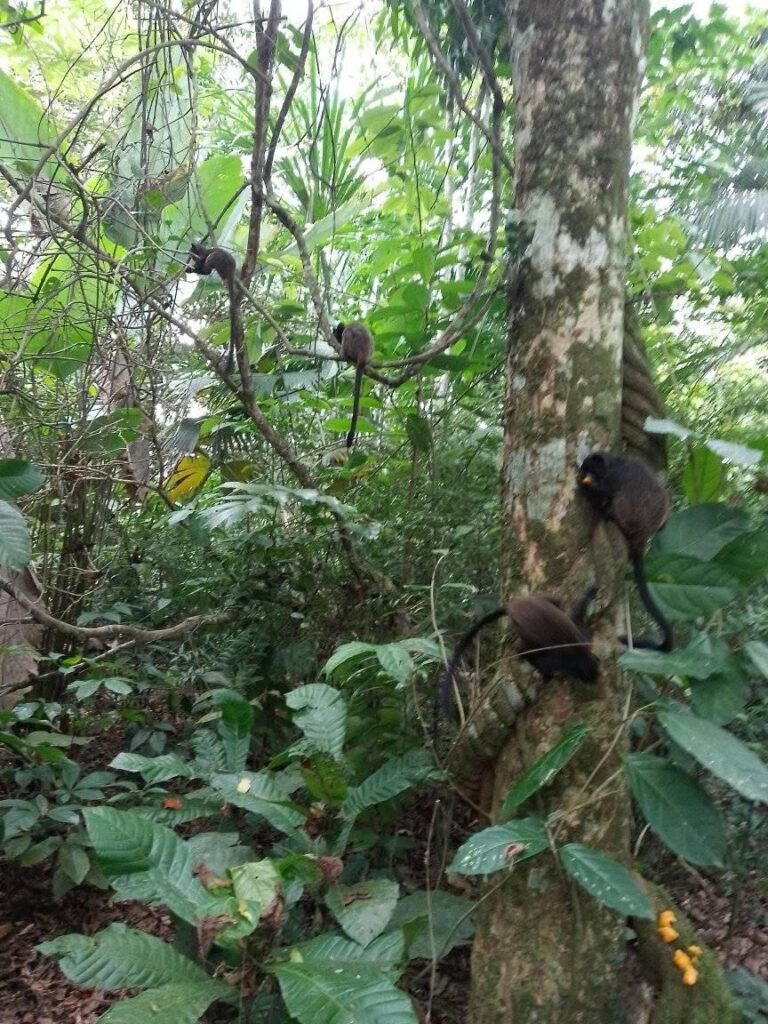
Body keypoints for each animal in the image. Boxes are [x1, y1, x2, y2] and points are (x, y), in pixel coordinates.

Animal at [186, 243, 240, 374]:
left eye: (192, 254)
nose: (191, 259)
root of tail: (231, 267)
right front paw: (189, 268)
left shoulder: (203, 257)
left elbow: (204, 268)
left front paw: (191, 268)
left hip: (216, 258)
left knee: (207, 269)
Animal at [438, 587, 599, 718]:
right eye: (587, 678)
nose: (594, 681)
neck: (580, 657)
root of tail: (511, 606)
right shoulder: (561, 660)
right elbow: (542, 664)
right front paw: (547, 677)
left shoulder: (582, 640)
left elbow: (577, 616)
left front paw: (590, 592)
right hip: (521, 627)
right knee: (524, 647)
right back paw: (521, 651)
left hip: (536, 600)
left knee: (557, 601)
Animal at [577, 451, 673, 652]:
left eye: (589, 469)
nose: (584, 473)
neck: (614, 463)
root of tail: (643, 534)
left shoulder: (613, 477)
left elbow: (600, 492)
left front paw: (582, 484)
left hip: (630, 518)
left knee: (619, 501)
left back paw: (610, 516)